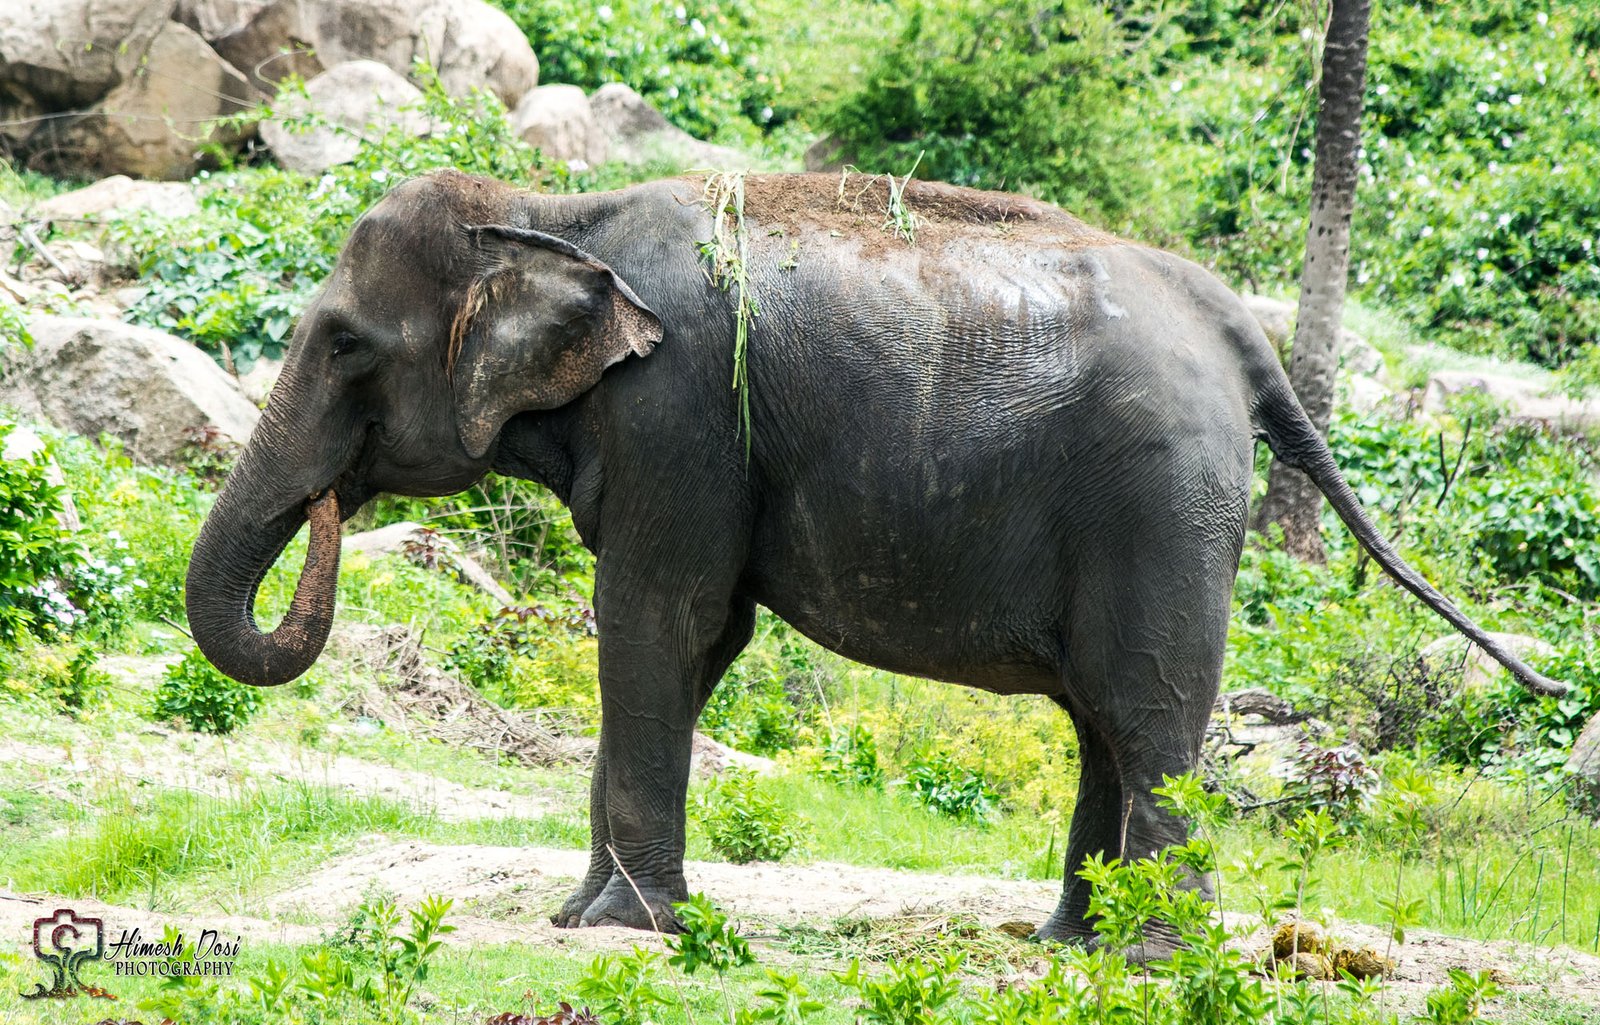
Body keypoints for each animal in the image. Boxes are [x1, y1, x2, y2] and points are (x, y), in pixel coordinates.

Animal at [186, 169, 1564, 954]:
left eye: (345, 345)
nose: (327, 507)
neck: (549, 212)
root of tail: (1240, 329)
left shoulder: (684, 414)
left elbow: (657, 621)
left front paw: (623, 930)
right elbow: (695, 641)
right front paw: (587, 916)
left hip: (1161, 500)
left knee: (1146, 708)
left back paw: (1150, 961)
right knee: (1102, 717)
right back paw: (1069, 943)